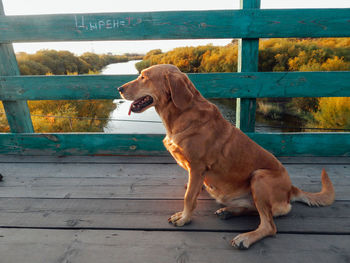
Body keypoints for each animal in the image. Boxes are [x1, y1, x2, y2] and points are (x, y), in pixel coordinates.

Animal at [118, 64, 336, 250]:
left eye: (144, 77)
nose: (119, 88)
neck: (180, 114)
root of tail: (291, 189)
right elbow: (192, 191)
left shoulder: (197, 167)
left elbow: (188, 197)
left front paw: (185, 217)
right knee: (256, 211)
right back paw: (229, 211)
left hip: (259, 176)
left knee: (269, 225)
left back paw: (245, 238)